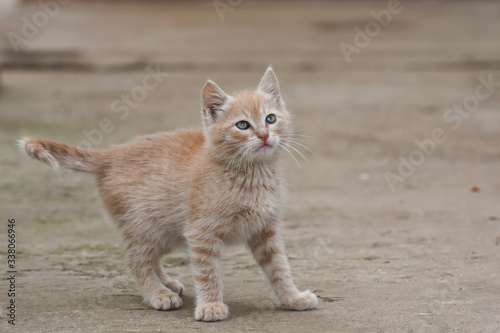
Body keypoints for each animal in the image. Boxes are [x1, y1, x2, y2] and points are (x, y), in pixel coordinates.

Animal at [19, 66, 318, 320]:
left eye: (271, 118)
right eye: (242, 125)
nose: (265, 136)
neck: (252, 174)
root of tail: (112, 154)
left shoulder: (265, 230)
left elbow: (279, 267)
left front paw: (292, 298)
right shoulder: (201, 232)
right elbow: (207, 271)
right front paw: (210, 306)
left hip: (167, 230)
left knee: (149, 257)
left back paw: (166, 283)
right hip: (146, 225)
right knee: (135, 260)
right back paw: (158, 294)